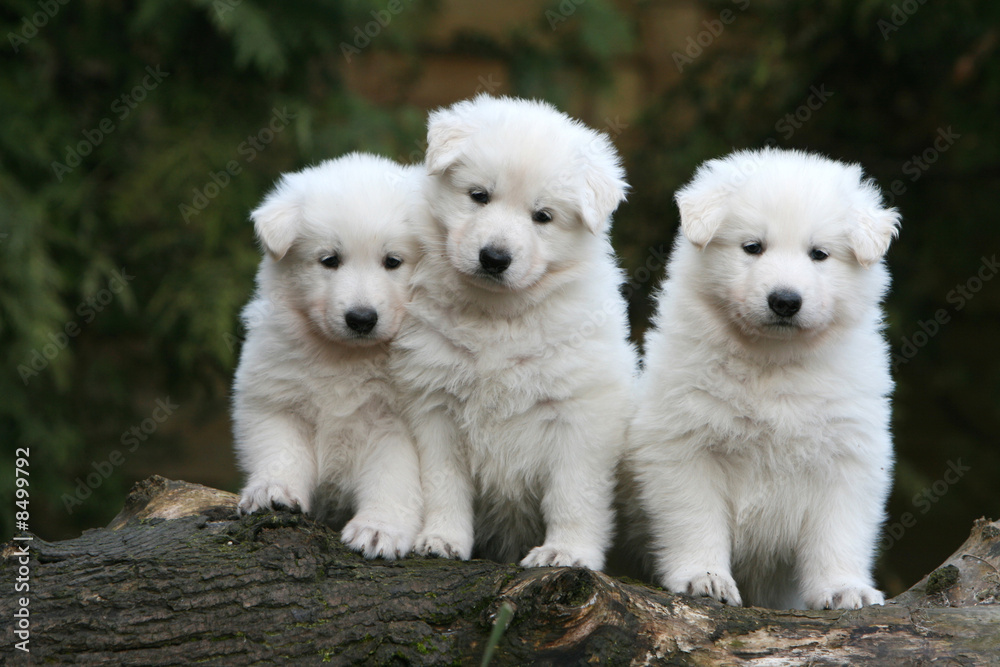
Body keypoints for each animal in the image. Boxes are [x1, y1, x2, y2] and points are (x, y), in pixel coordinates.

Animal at [233, 154, 422, 560]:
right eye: (330, 260)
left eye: (393, 261)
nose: (362, 318)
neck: (345, 356)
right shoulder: (274, 396)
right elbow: (280, 448)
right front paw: (273, 491)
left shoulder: (399, 422)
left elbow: (394, 476)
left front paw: (378, 529)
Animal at [390, 96, 632, 572]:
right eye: (479, 196)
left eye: (543, 217)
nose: (494, 258)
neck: (498, 316)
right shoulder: (435, 404)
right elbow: (444, 481)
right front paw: (442, 538)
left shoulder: (582, 411)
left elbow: (573, 492)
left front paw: (566, 552)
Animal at [628, 147, 904, 612]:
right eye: (752, 247)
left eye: (819, 254)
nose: (785, 301)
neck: (772, 362)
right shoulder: (684, 443)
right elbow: (694, 517)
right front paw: (704, 577)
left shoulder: (849, 452)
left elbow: (839, 529)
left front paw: (843, 587)